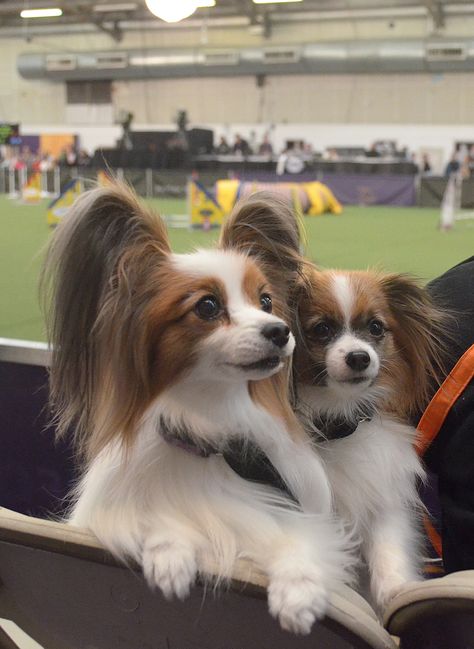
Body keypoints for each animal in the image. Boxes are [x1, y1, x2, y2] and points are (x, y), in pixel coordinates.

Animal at [42, 185, 354, 636]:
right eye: (207, 306)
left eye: (266, 301)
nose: (280, 331)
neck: (211, 423)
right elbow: (157, 521)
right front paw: (170, 555)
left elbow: (297, 542)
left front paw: (298, 596)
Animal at [294, 264, 446, 612]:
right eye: (322, 329)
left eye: (376, 327)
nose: (359, 357)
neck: (339, 419)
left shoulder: (382, 494)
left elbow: (388, 546)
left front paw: (396, 590)